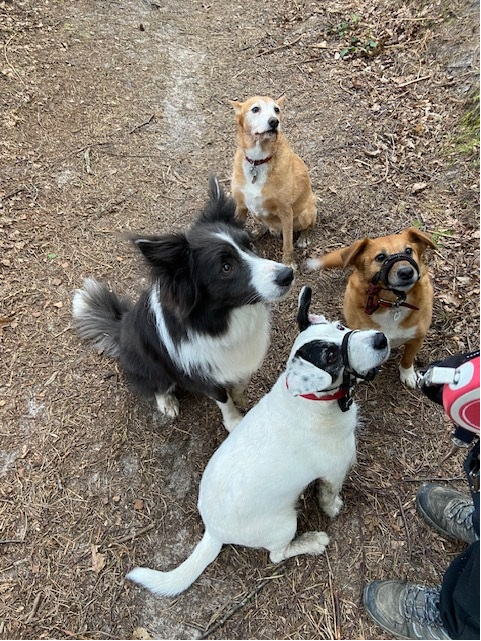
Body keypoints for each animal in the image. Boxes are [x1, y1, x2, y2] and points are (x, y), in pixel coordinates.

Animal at [125, 286, 388, 596]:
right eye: (331, 356)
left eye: (340, 327)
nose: (381, 339)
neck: (311, 401)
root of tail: (213, 531)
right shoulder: (334, 473)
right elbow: (328, 496)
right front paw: (333, 509)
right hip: (285, 524)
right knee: (277, 555)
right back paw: (311, 542)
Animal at [230, 94, 316, 268]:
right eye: (255, 109)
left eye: (277, 110)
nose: (274, 121)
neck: (258, 160)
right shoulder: (241, 206)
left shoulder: (286, 211)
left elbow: (288, 243)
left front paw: (289, 263)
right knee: (265, 224)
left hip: (306, 214)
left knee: (307, 226)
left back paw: (303, 238)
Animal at [308, 228, 436, 388]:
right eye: (380, 257)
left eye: (408, 251)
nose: (406, 272)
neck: (392, 303)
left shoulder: (416, 339)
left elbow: (407, 359)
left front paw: (407, 374)